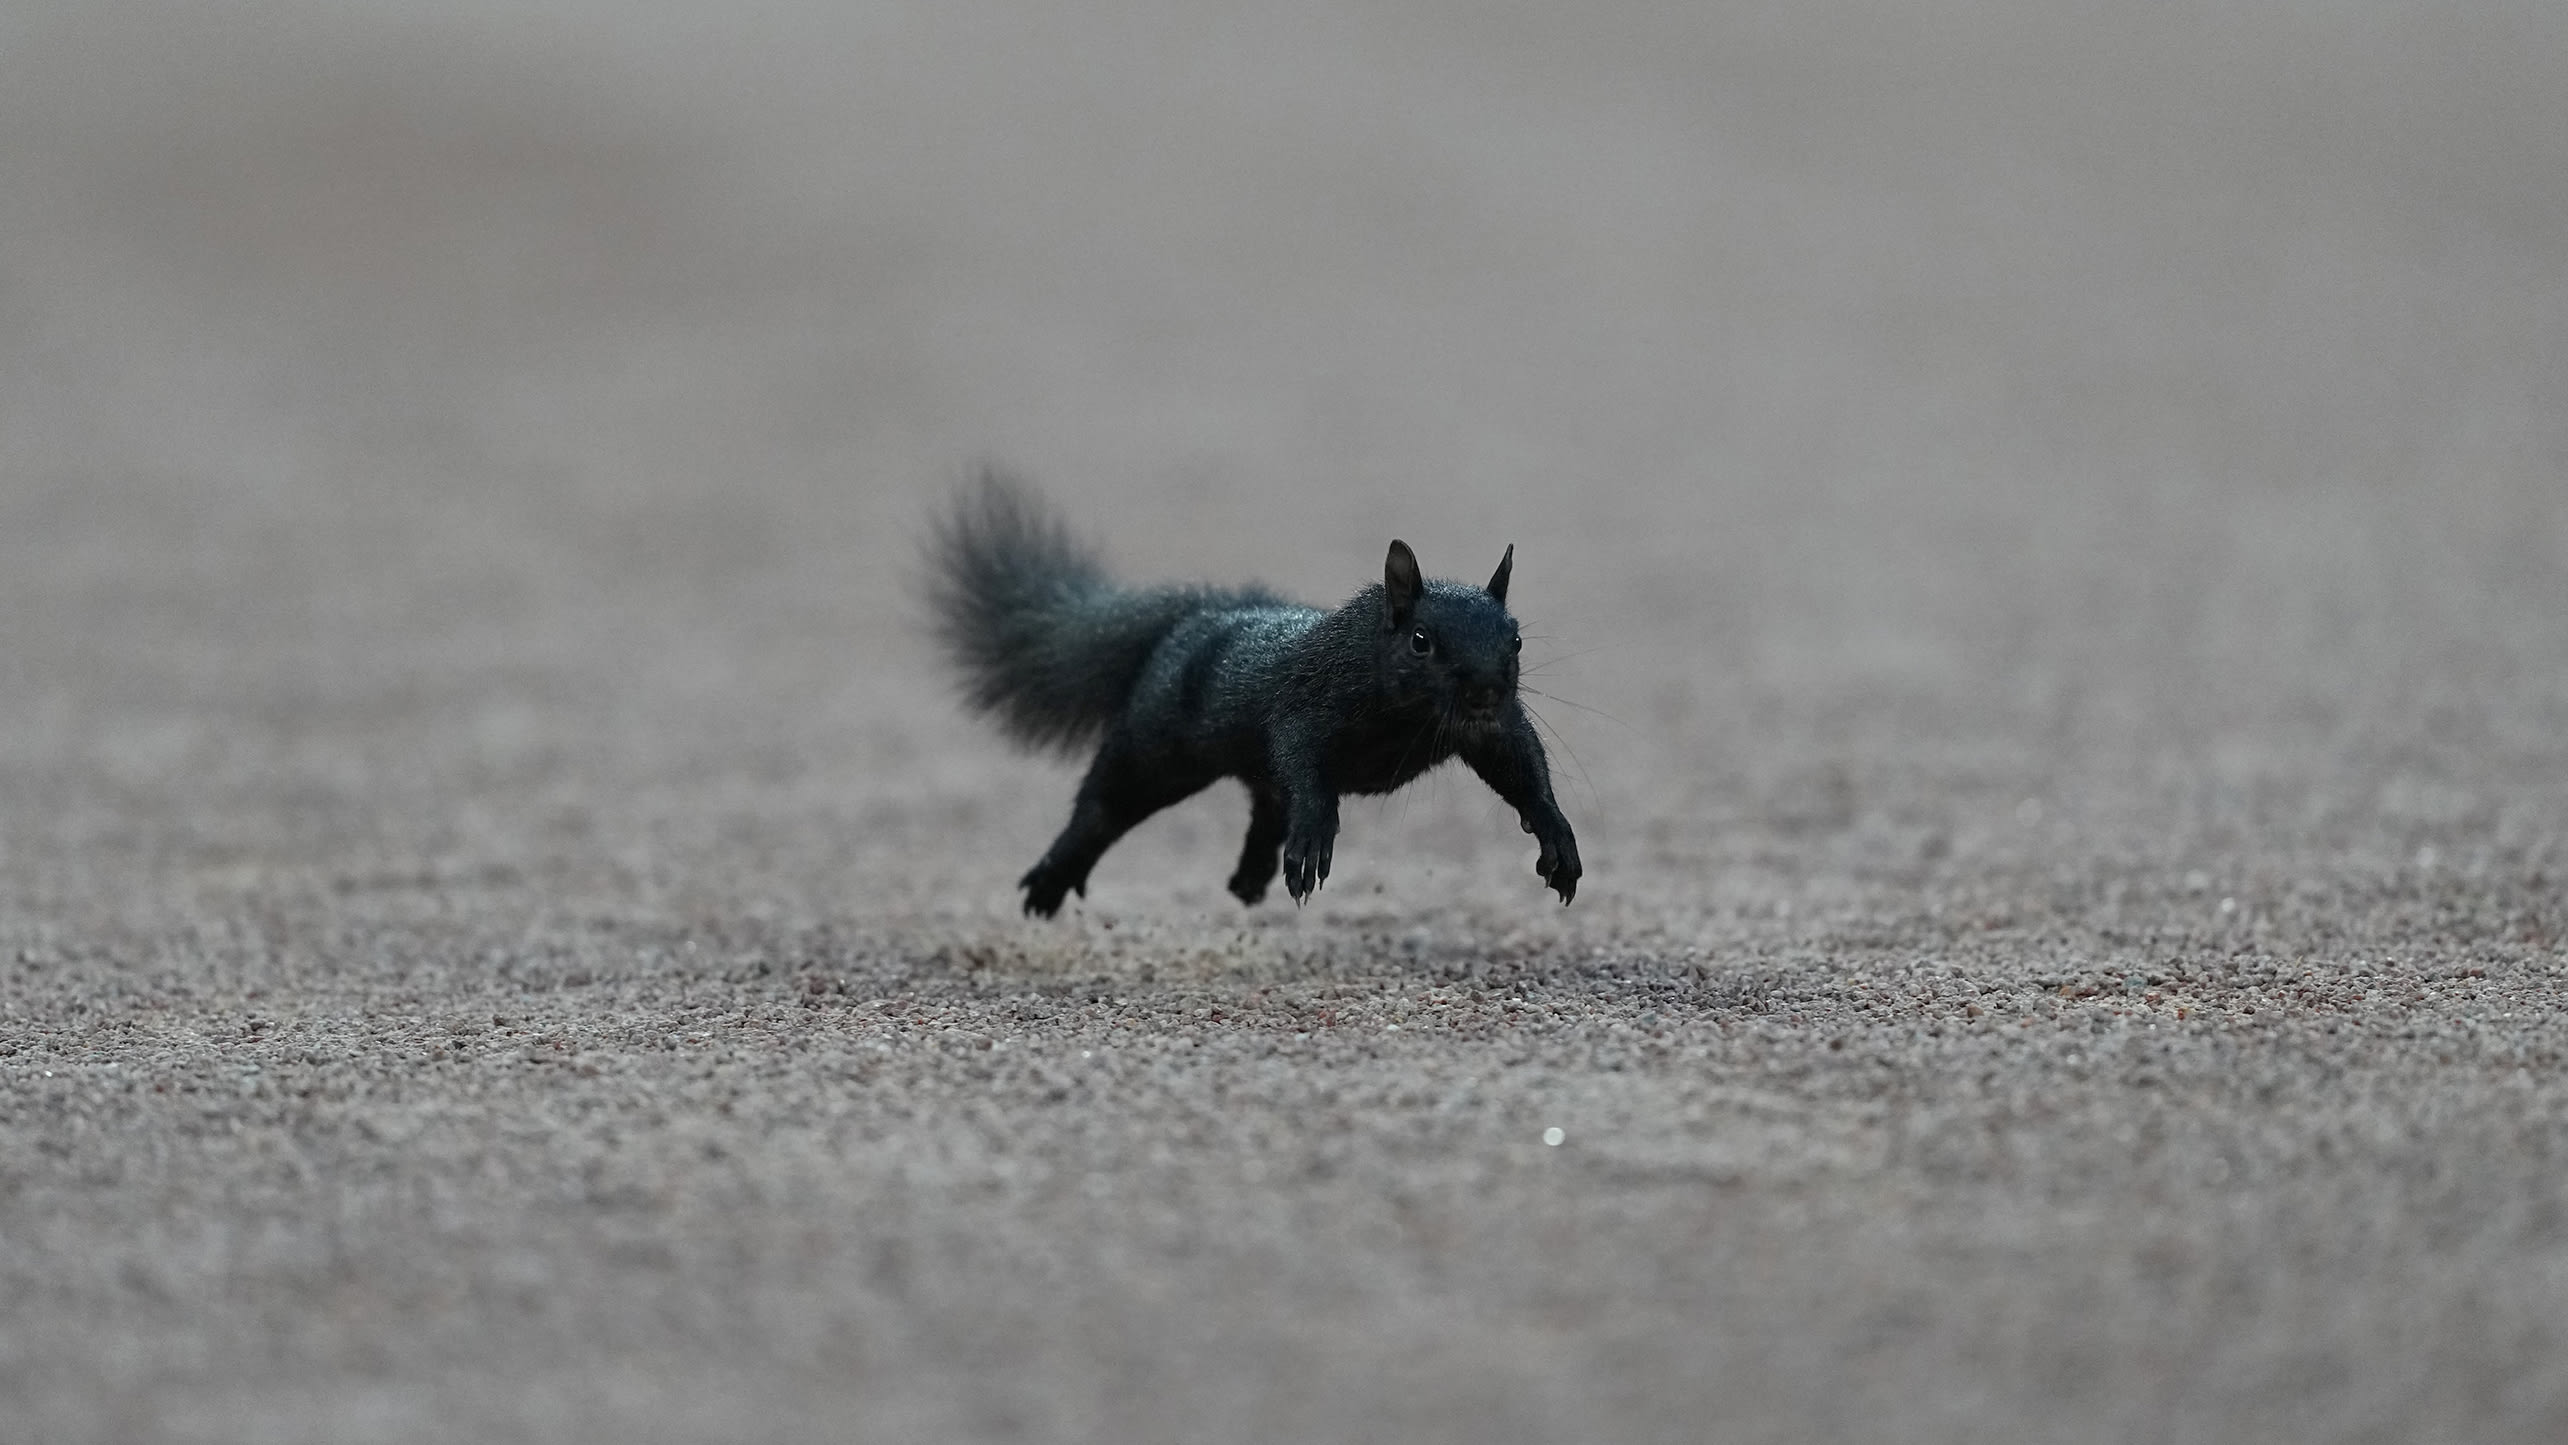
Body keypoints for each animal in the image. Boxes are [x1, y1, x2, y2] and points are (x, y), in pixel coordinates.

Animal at [925, 471, 1581, 917]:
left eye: (1516, 639)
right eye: (1421, 641)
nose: (1486, 691)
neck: (1406, 711)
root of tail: (1199, 616)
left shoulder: (1489, 731)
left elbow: (1522, 769)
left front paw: (1557, 839)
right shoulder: (1307, 703)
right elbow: (1304, 764)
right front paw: (1315, 834)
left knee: (1266, 802)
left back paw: (1251, 876)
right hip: (1155, 748)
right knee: (1104, 806)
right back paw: (1052, 879)